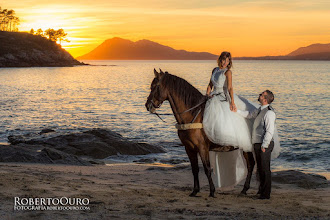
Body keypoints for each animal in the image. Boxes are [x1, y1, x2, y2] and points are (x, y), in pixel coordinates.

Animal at [144, 69, 255, 198]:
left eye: (155, 86)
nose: (148, 105)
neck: (192, 114)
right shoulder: (189, 148)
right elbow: (195, 169)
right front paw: (195, 190)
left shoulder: (202, 147)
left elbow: (207, 169)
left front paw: (212, 191)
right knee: (251, 164)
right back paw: (245, 189)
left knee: (251, 165)